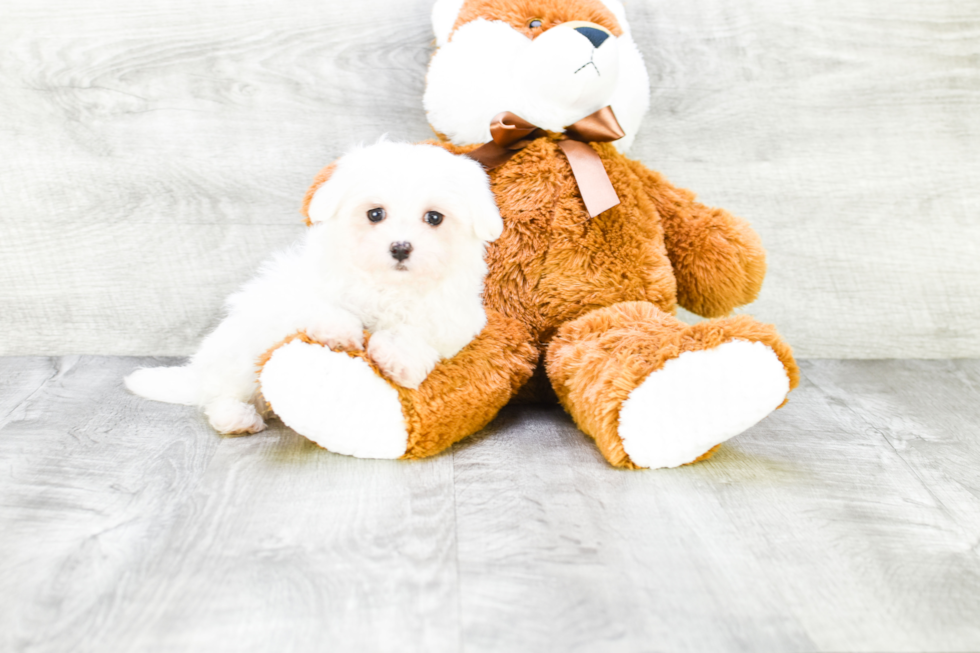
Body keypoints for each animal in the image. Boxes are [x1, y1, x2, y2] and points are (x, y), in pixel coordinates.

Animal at [125, 142, 502, 436]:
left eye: (434, 218)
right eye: (375, 214)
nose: (400, 247)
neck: (387, 285)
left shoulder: (453, 321)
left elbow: (418, 334)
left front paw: (398, 357)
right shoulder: (296, 289)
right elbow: (320, 305)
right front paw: (340, 332)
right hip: (238, 353)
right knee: (222, 394)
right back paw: (236, 417)